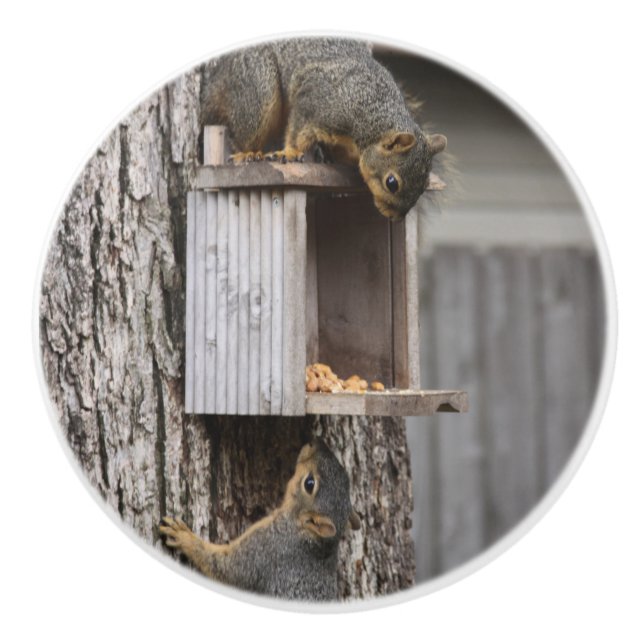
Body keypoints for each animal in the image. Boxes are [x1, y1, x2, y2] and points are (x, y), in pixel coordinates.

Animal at [159, 439, 360, 601]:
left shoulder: (264, 550)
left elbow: (227, 569)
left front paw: (184, 537)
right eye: (345, 476)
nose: (316, 442)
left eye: (309, 483)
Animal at [201, 37, 447, 221]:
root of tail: (220, 76)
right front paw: (290, 152)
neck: (372, 115)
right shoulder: (316, 103)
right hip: (258, 87)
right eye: (392, 183)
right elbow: (297, 130)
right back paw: (248, 153)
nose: (396, 217)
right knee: (244, 131)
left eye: (425, 185)